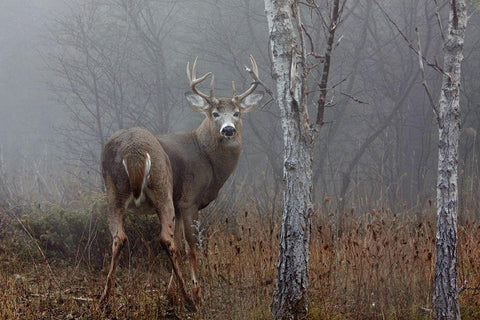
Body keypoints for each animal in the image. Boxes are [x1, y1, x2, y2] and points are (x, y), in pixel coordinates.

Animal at [98, 56, 262, 312]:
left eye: (237, 113)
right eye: (214, 113)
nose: (228, 130)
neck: (206, 157)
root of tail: (133, 151)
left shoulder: (178, 203)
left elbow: (178, 242)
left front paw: (170, 292)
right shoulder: (188, 199)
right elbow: (191, 245)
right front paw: (195, 292)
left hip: (113, 192)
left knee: (120, 238)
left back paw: (105, 299)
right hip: (162, 186)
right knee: (164, 239)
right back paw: (189, 297)